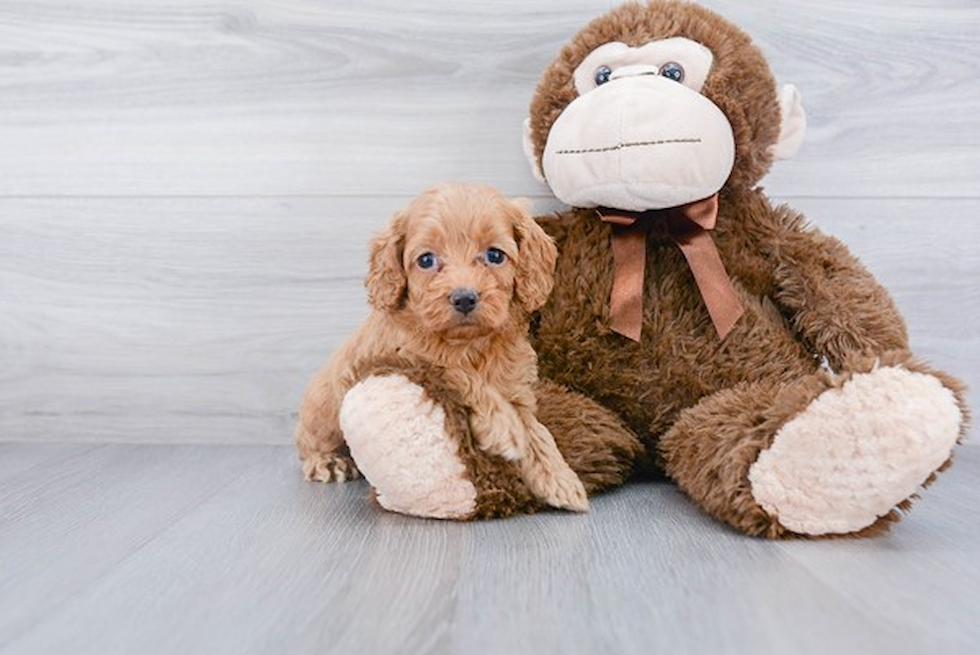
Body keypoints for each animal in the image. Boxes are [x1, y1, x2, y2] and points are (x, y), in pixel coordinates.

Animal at [294, 183, 588, 512]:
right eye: (426, 260)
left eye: (494, 255)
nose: (464, 298)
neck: (469, 343)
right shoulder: (406, 355)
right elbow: (459, 373)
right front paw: (502, 426)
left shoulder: (516, 387)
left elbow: (537, 431)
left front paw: (560, 479)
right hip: (323, 410)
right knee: (308, 440)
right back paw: (328, 460)